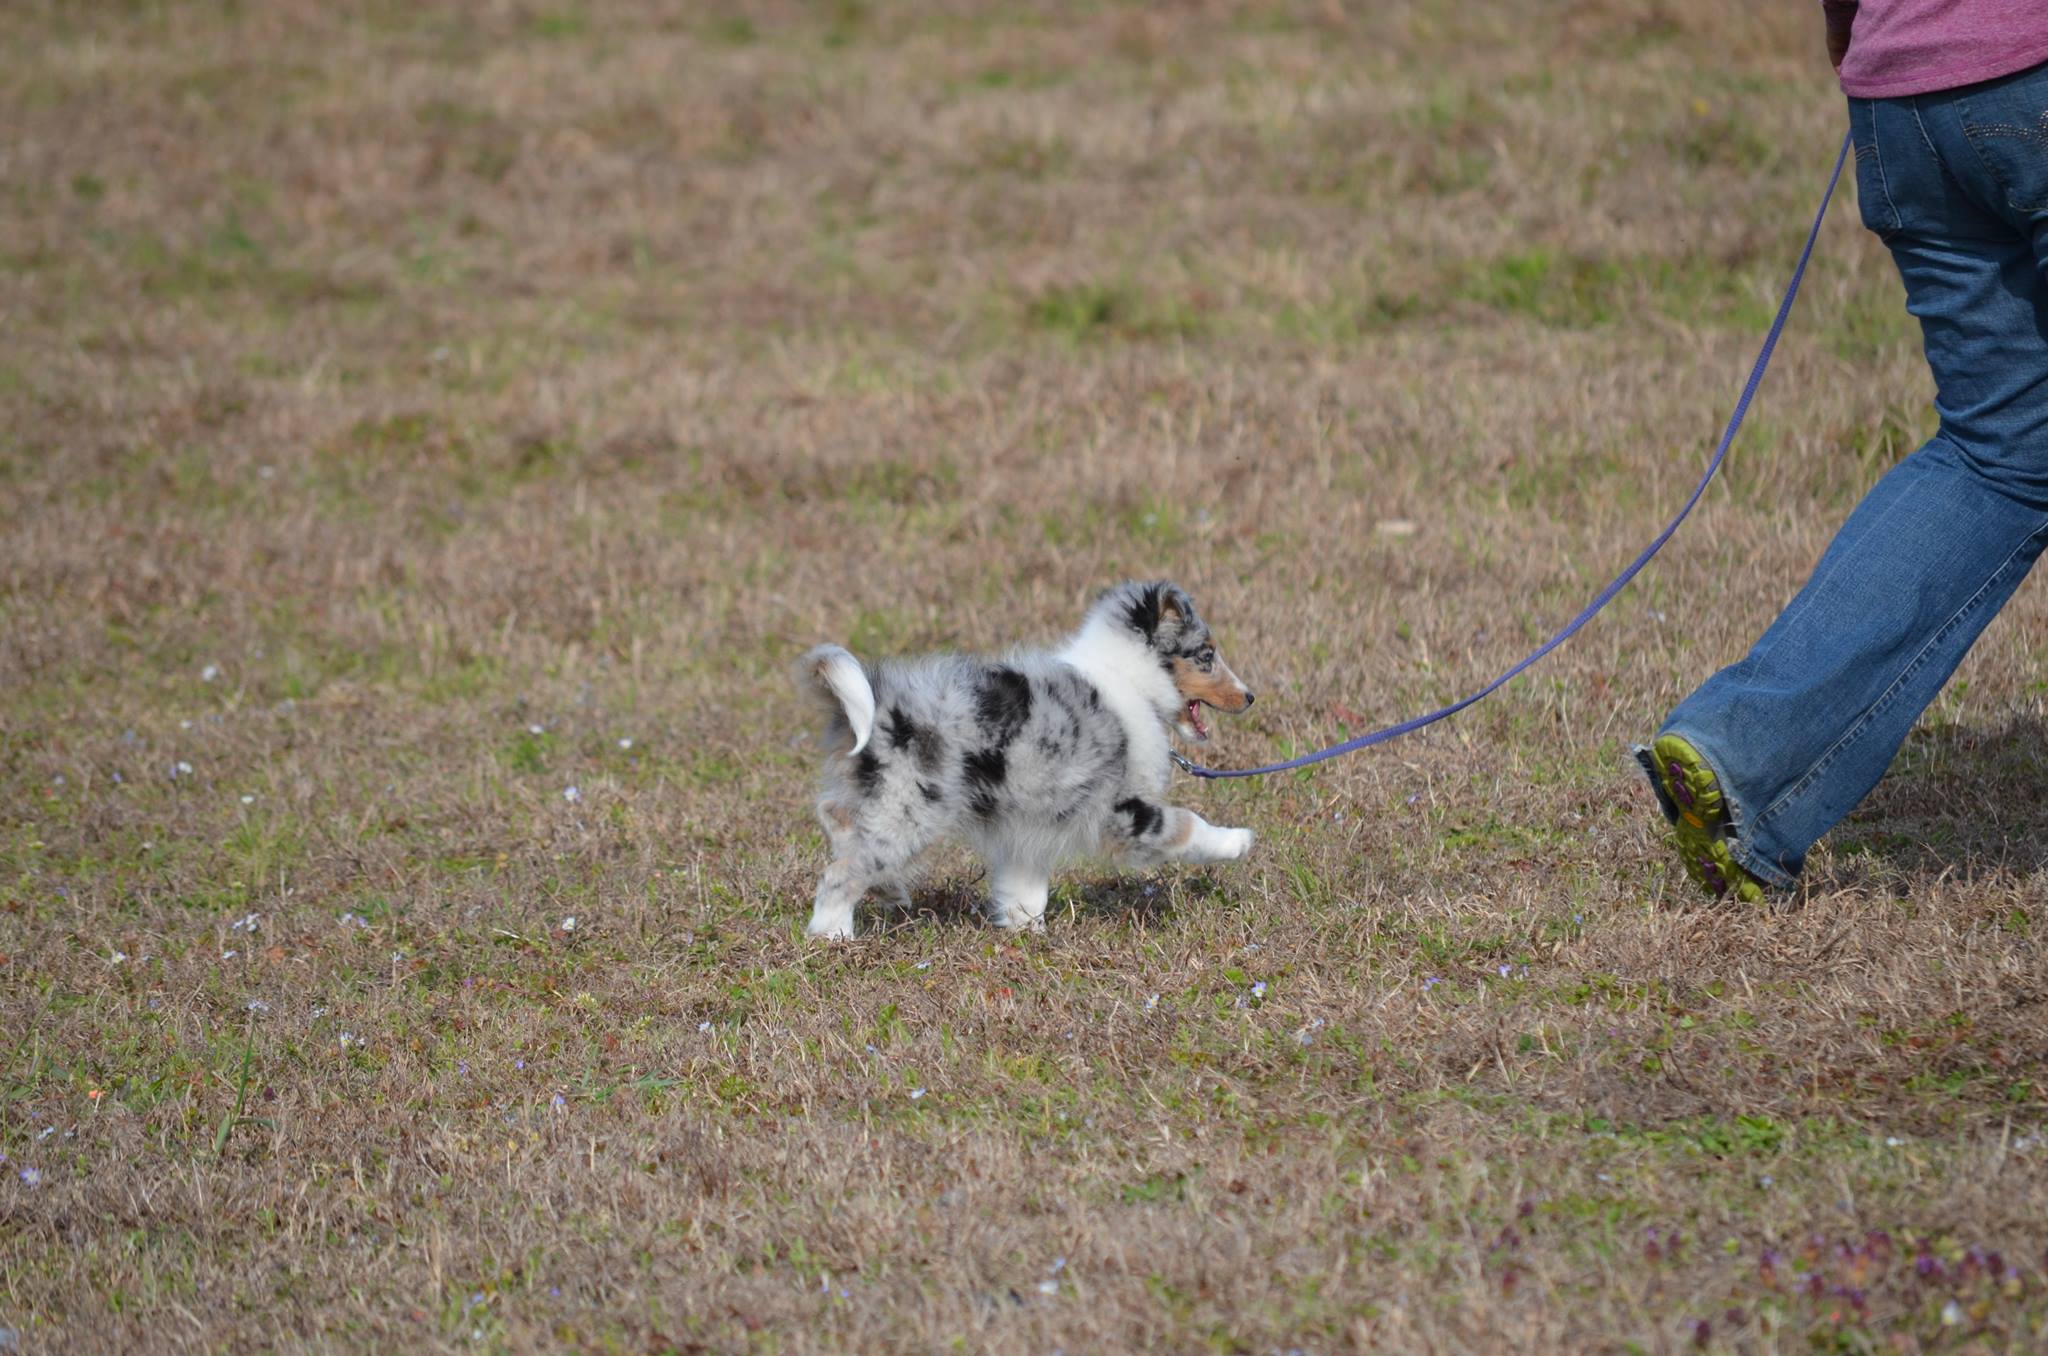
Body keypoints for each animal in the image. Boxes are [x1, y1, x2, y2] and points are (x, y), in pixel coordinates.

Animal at [794, 577, 1245, 942]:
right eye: (1206, 656)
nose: (1250, 697)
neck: (1131, 679)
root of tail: (876, 700)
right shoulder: (1119, 812)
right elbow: (1187, 824)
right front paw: (1237, 842)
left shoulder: (1031, 821)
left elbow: (1026, 890)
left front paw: (1028, 935)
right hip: (910, 809)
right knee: (841, 872)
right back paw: (833, 935)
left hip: (882, 796)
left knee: (834, 815)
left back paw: (887, 889)